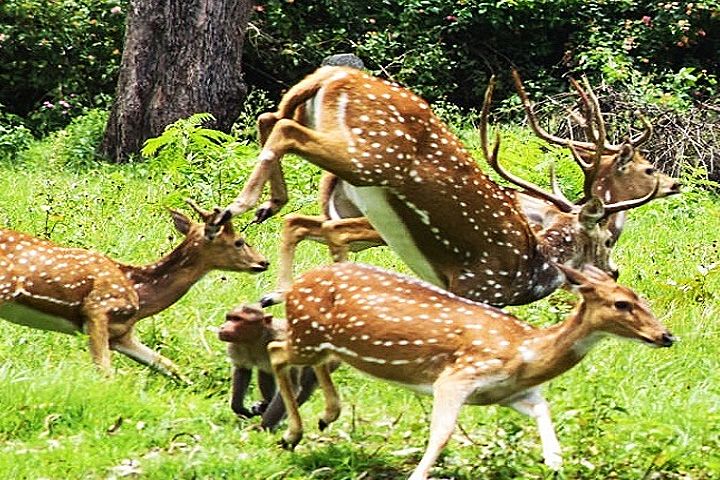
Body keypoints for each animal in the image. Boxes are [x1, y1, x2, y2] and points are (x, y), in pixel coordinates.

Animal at [0, 199, 268, 383]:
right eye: (239, 242)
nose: (264, 262)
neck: (141, 296)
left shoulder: (122, 334)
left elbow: (169, 366)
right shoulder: (97, 308)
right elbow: (105, 371)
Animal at [204, 66, 659, 308]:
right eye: (606, 238)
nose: (614, 271)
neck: (530, 269)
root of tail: (332, 73)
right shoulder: (479, 286)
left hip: (337, 139)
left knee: (271, 120)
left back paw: (270, 244)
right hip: (372, 156)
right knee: (283, 130)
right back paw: (238, 208)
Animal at [267, 262, 675, 479]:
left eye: (643, 299)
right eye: (621, 303)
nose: (666, 336)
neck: (524, 353)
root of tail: (296, 284)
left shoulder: (507, 393)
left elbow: (544, 409)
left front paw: (555, 462)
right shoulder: (458, 375)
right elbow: (442, 433)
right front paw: (418, 474)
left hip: (320, 340)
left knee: (312, 360)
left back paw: (324, 417)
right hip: (306, 333)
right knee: (276, 350)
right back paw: (291, 433)